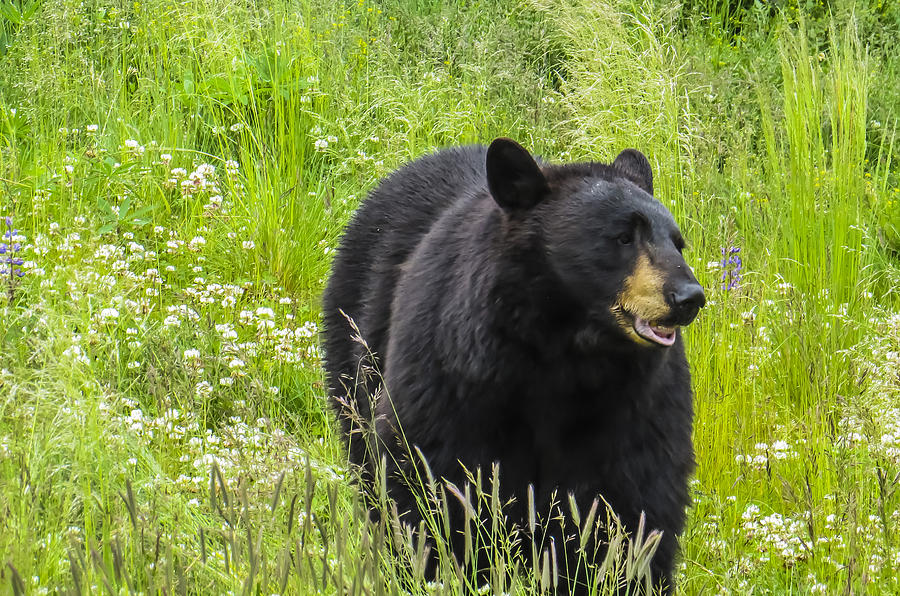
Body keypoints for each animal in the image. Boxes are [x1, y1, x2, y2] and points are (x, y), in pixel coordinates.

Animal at [322, 138, 705, 594]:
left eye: (677, 242)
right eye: (623, 237)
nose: (689, 296)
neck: (568, 358)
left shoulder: (638, 408)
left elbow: (636, 509)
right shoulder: (455, 378)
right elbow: (429, 486)